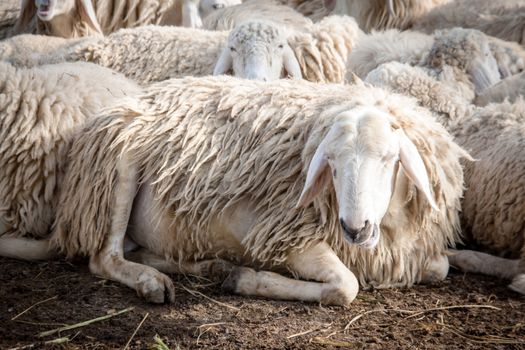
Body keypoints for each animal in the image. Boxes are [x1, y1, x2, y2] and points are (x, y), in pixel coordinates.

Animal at [2, 76, 468, 304]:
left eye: (390, 159)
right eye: (331, 166)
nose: (355, 229)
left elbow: (439, 268)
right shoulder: (283, 237)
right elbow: (345, 288)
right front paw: (249, 280)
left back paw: (208, 266)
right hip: (120, 166)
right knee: (104, 258)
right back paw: (154, 282)